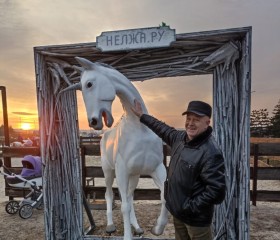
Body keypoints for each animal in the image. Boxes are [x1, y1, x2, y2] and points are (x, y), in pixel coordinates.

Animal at [62, 57, 168, 239]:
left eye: (89, 84)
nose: (93, 122)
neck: (140, 129)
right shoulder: (122, 171)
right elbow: (123, 206)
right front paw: (127, 236)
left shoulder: (156, 169)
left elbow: (163, 197)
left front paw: (157, 228)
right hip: (108, 172)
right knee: (109, 195)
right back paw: (111, 226)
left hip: (134, 175)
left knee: (130, 197)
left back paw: (137, 227)